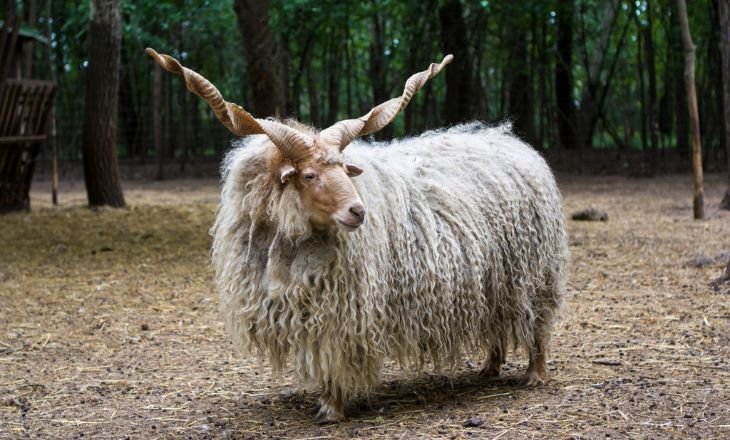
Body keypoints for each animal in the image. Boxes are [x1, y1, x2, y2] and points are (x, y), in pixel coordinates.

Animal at [146, 47, 568, 422]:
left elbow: (334, 355)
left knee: (537, 324)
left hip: (534, 275)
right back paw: (489, 367)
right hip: (493, 280)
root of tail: (509, 140)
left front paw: (331, 408)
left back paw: (534, 375)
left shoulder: (343, 310)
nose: (358, 211)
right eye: (309, 175)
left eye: (344, 171)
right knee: (495, 322)